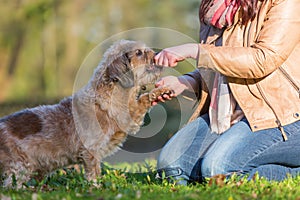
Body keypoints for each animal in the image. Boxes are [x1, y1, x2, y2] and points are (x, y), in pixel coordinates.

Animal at [0, 39, 172, 187]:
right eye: (138, 52)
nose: (158, 53)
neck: (109, 92)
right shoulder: (91, 150)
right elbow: (94, 173)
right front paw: (96, 188)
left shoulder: (129, 116)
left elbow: (143, 98)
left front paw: (163, 90)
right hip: (20, 167)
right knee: (10, 185)